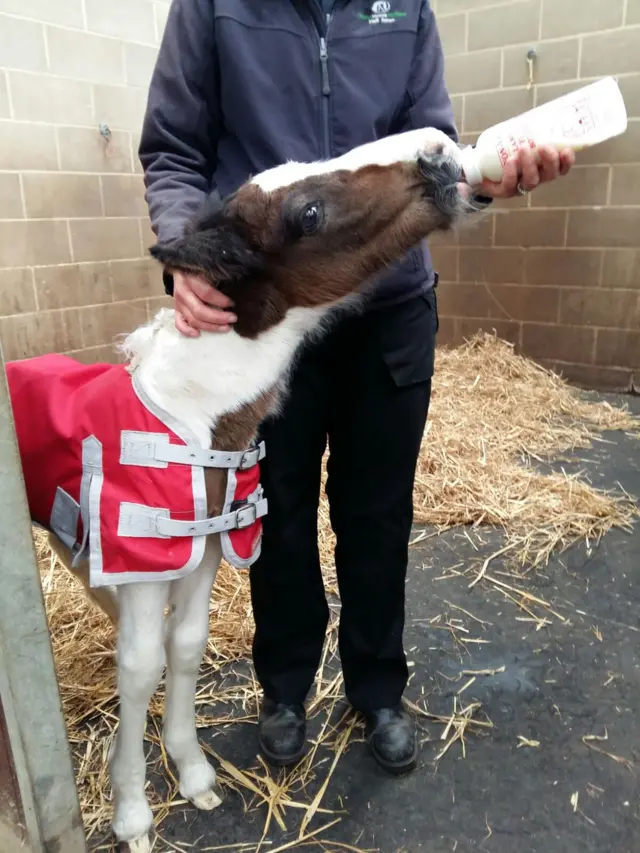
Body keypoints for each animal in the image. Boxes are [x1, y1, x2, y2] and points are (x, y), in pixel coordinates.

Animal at [10, 128, 472, 852]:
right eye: (308, 212)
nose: (439, 149)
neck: (196, 417)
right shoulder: (144, 565)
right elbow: (140, 666)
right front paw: (132, 814)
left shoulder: (199, 555)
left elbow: (185, 645)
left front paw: (195, 777)